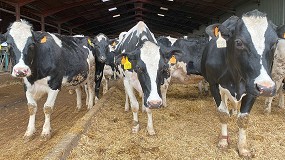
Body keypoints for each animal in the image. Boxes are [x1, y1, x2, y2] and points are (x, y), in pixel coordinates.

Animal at [200, 10, 278, 158]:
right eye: (239, 42)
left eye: (275, 43)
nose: (266, 88)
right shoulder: (214, 84)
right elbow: (222, 113)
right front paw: (223, 141)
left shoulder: (253, 87)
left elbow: (243, 119)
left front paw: (243, 148)